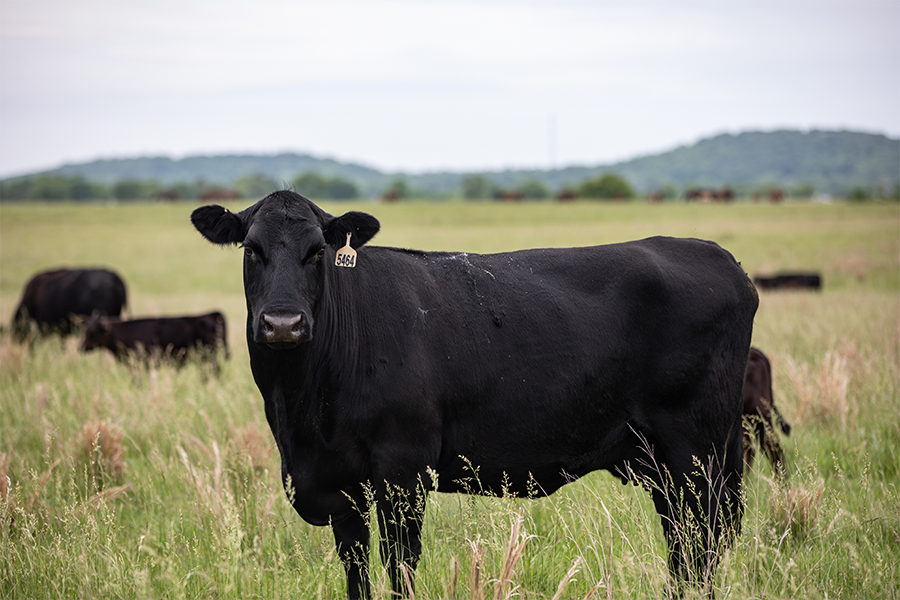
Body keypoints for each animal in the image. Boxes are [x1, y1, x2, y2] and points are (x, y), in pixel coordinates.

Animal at [190, 192, 760, 600]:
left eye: (317, 251)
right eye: (252, 250)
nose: (283, 323)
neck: (303, 417)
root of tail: (716, 254)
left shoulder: (403, 472)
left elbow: (400, 567)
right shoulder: (339, 489)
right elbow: (357, 575)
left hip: (697, 455)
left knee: (701, 547)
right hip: (662, 464)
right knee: (685, 548)